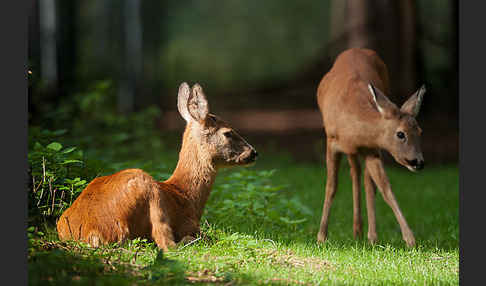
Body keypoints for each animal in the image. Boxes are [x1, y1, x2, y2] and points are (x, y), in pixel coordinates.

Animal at [57, 82, 258, 250]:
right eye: (228, 133)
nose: (253, 152)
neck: (187, 196)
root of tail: (92, 232)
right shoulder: (188, 223)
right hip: (149, 190)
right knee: (168, 244)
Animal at [316, 48, 426, 247]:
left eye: (420, 131)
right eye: (401, 134)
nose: (418, 162)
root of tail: (356, 49)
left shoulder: (371, 149)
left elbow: (385, 188)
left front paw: (410, 239)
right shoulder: (331, 142)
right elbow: (331, 186)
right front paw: (321, 237)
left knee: (366, 181)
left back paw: (367, 234)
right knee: (355, 173)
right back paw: (358, 231)